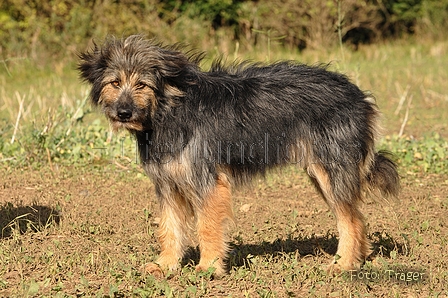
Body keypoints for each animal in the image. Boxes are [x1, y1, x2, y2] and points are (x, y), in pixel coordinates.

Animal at [78, 35, 400, 278]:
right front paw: (165, 265)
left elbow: (207, 227)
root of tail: (359, 95)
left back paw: (344, 265)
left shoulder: (207, 183)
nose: (123, 113)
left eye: (142, 84)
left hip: (330, 170)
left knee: (352, 220)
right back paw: (356, 259)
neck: (168, 110)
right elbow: (169, 228)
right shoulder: (168, 185)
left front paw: (208, 268)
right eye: (115, 82)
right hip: (323, 174)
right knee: (356, 217)